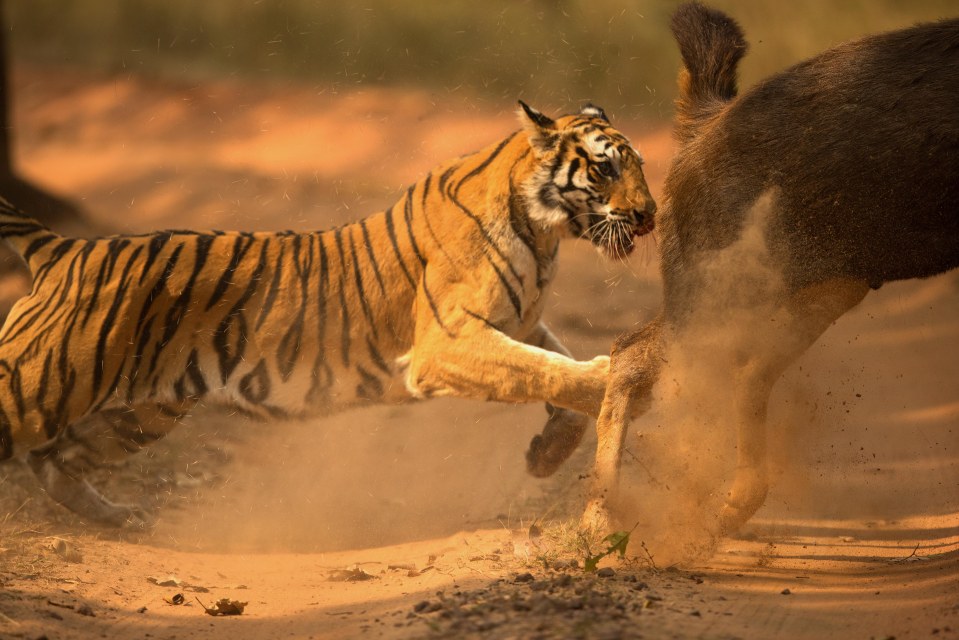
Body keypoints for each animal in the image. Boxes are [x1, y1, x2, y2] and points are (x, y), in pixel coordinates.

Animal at [0, 102, 656, 528]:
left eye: (641, 166)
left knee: (56, 461)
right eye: (605, 168)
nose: (650, 215)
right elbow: (548, 369)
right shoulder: (447, 342)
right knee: (36, 446)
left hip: (142, 410)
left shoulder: (513, 323)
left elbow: (553, 366)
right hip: (41, 387)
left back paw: (119, 517)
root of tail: (64, 249)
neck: (545, 235)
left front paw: (546, 454)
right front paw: (623, 379)